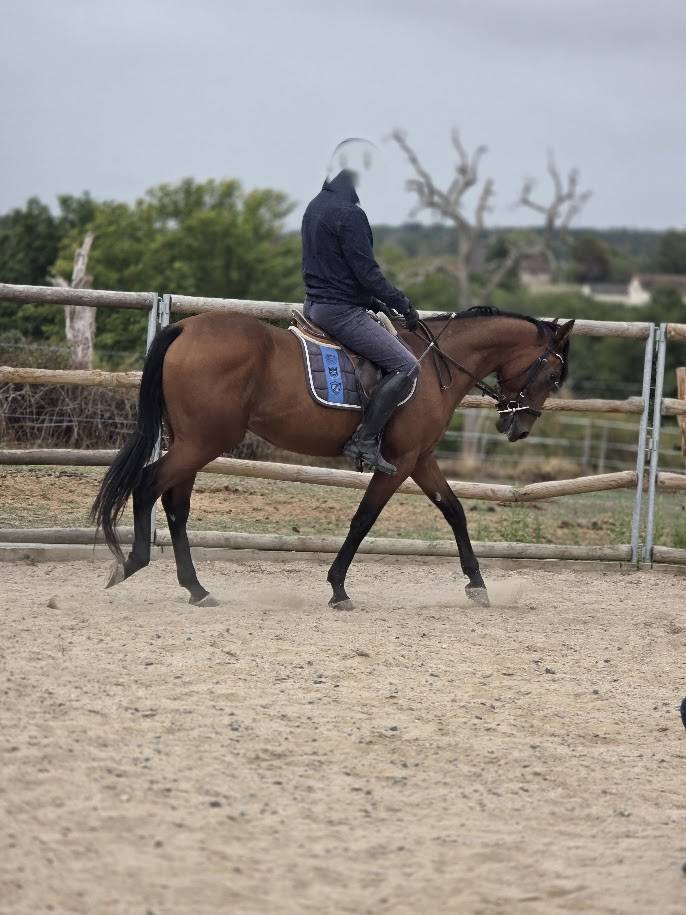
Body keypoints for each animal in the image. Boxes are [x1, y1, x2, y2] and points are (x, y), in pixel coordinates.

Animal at [91, 307, 574, 609]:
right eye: (552, 373)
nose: (519, 427)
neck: (438, 364)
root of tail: (186, 329)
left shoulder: (420, 459)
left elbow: (454, 511)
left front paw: (477, 585)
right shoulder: (399, 463)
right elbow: (363, 520)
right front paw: (338, 588)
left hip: (191, 441)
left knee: (176, 505)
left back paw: (195, 588)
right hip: (201, 442)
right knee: (149, 485)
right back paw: (133, 563)